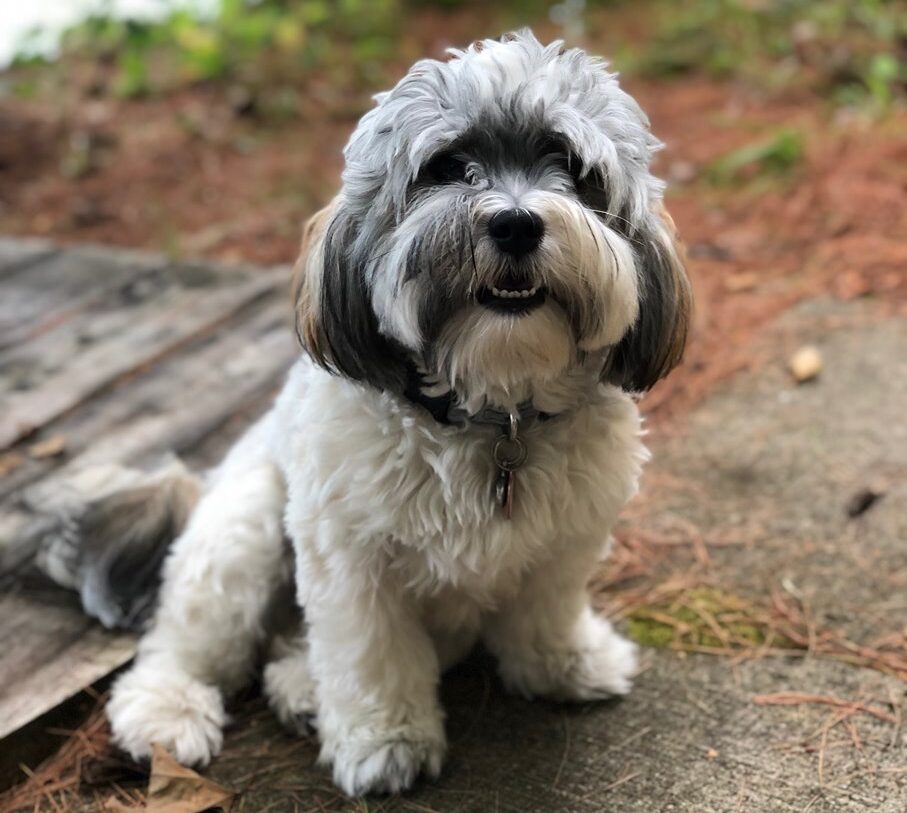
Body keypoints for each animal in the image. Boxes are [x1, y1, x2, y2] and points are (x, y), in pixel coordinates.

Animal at [35, 30, 692, 792]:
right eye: (449, 168)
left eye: (572, 170)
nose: (517, 223)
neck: (494, 415)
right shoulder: (351, 562)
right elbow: (370, 655)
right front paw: (387, 741)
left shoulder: (566, 540)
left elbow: (545, 611)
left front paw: (562, 663)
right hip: (241, 530)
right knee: (185, 645)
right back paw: (168, 710)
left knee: (286, 652)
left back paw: (299, 689)